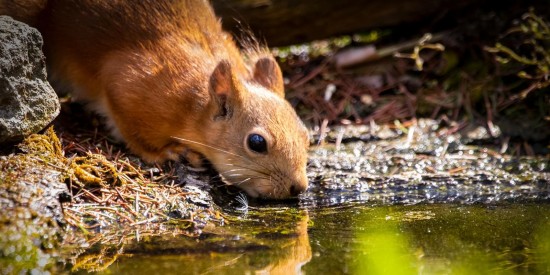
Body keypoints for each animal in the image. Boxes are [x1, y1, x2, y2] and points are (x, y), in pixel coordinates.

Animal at [1, 0, 310, 198]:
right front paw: (168, 152)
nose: (299, 188)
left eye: (306, 135)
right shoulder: (128, 84)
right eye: (256, 143)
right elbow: (133, 133)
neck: (194, 107)